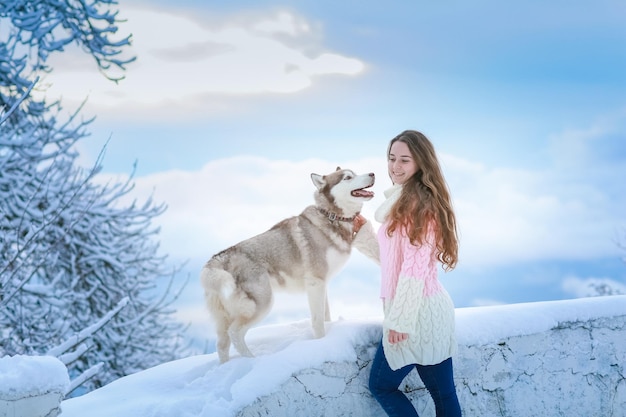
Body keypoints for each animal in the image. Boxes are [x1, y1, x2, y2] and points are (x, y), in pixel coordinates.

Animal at [202, 167, 372, 362]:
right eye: (347, 177)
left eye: (355, 173)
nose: (373, 174)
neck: (332, 217)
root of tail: (218, 259)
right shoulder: (315, 282)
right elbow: (318, 322)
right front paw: (321, 343)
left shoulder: (321, 284)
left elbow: (326, 316)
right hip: (261, 303)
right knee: (235, 333)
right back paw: (253, 360)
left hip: (227, 315)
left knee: (222, 344)